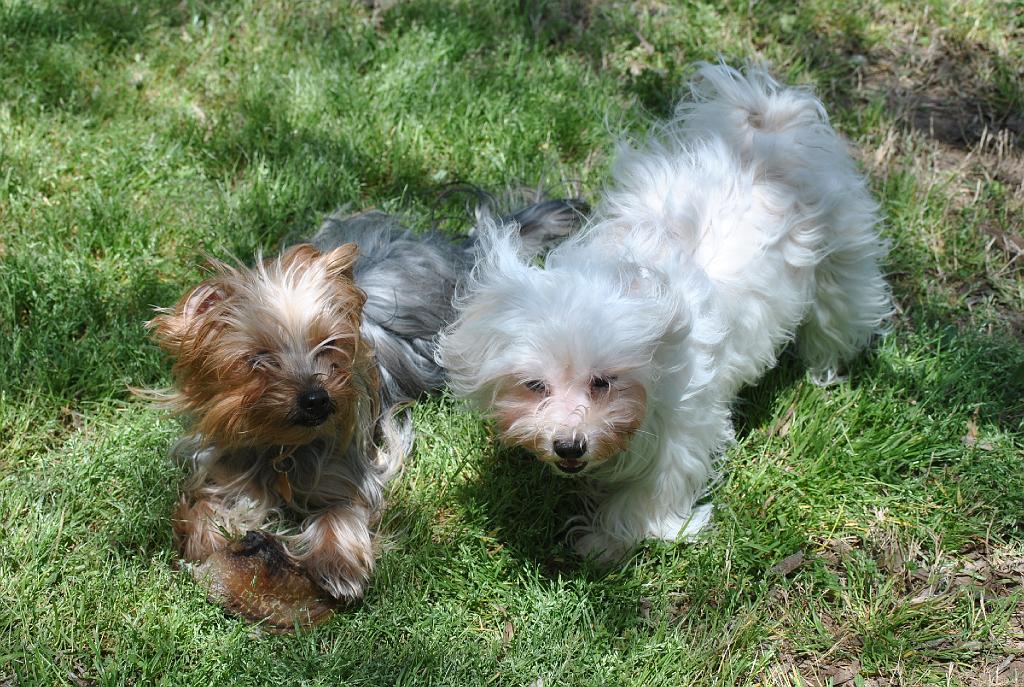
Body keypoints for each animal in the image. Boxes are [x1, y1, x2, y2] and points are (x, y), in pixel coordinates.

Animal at [436, 61, 892, 561]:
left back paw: (824, 368)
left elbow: (651, 492)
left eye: (603, 381)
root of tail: (771, 127)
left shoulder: (683, 426)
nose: (569, 446)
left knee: (836, 317)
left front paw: (606, 541)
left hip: (840, 264)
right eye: (534, 385)